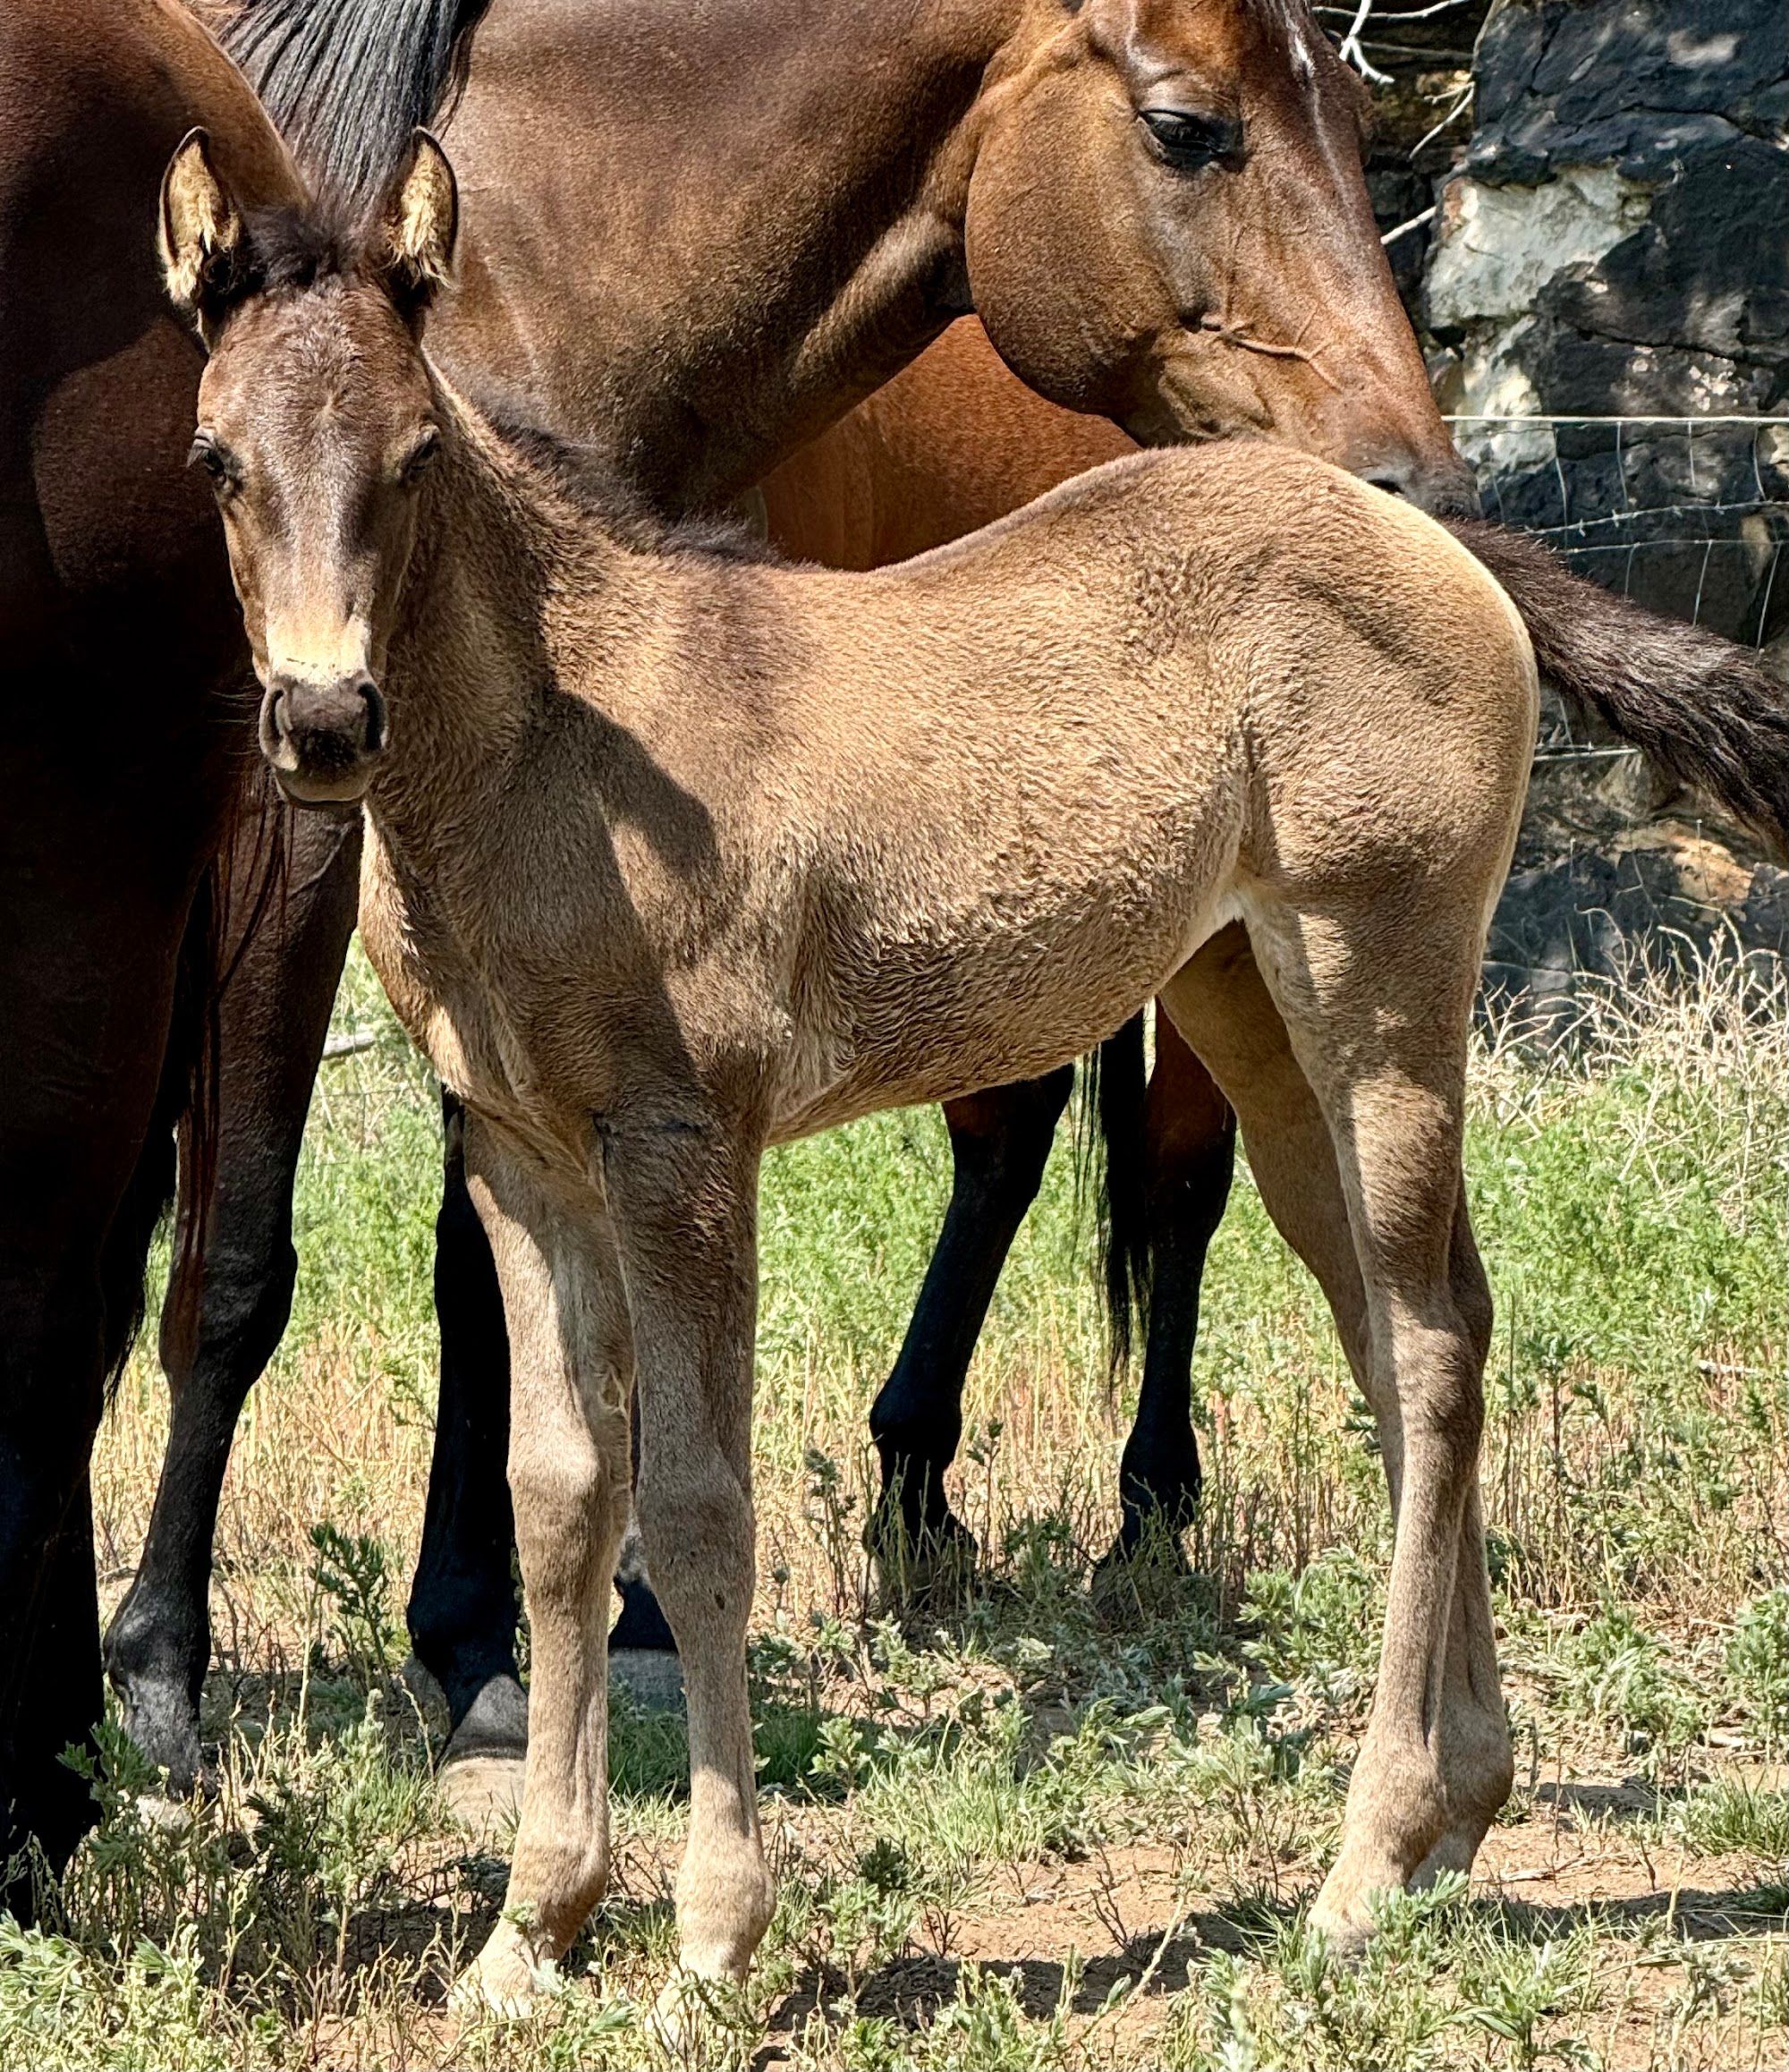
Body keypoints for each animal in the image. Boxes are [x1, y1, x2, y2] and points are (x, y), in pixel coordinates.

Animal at [164, 129, 1559, 2012]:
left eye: (416, 454)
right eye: (218, 459)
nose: (321, 723)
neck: (554, 748)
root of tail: (1433, 541)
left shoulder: (680, 1143)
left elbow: (695, 1508)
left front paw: (706, 1943)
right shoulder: (519, 1154)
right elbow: (556, 1501)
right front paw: (529, 1932)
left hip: (1382, 985)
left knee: (1427, 1347)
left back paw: (1362, 1862)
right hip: (1258, 1023)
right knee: (1405, 1336)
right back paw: (1455, 1815)